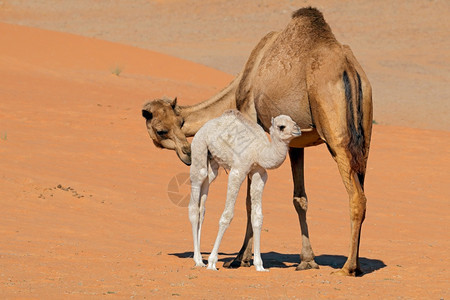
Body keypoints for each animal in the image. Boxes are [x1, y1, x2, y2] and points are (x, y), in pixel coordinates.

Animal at [143, 7, 372, 276]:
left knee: (356, 196)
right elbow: (300, 198)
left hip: (336, 136)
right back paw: (357, 264)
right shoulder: (296, 143)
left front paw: (240, 258)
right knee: (362, 189)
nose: (187, 153)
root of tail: (350, 70)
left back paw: (348, 267)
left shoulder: (251, 120)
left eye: (162, 130)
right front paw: (307, 260)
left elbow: (248, 201)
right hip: (364, 138)